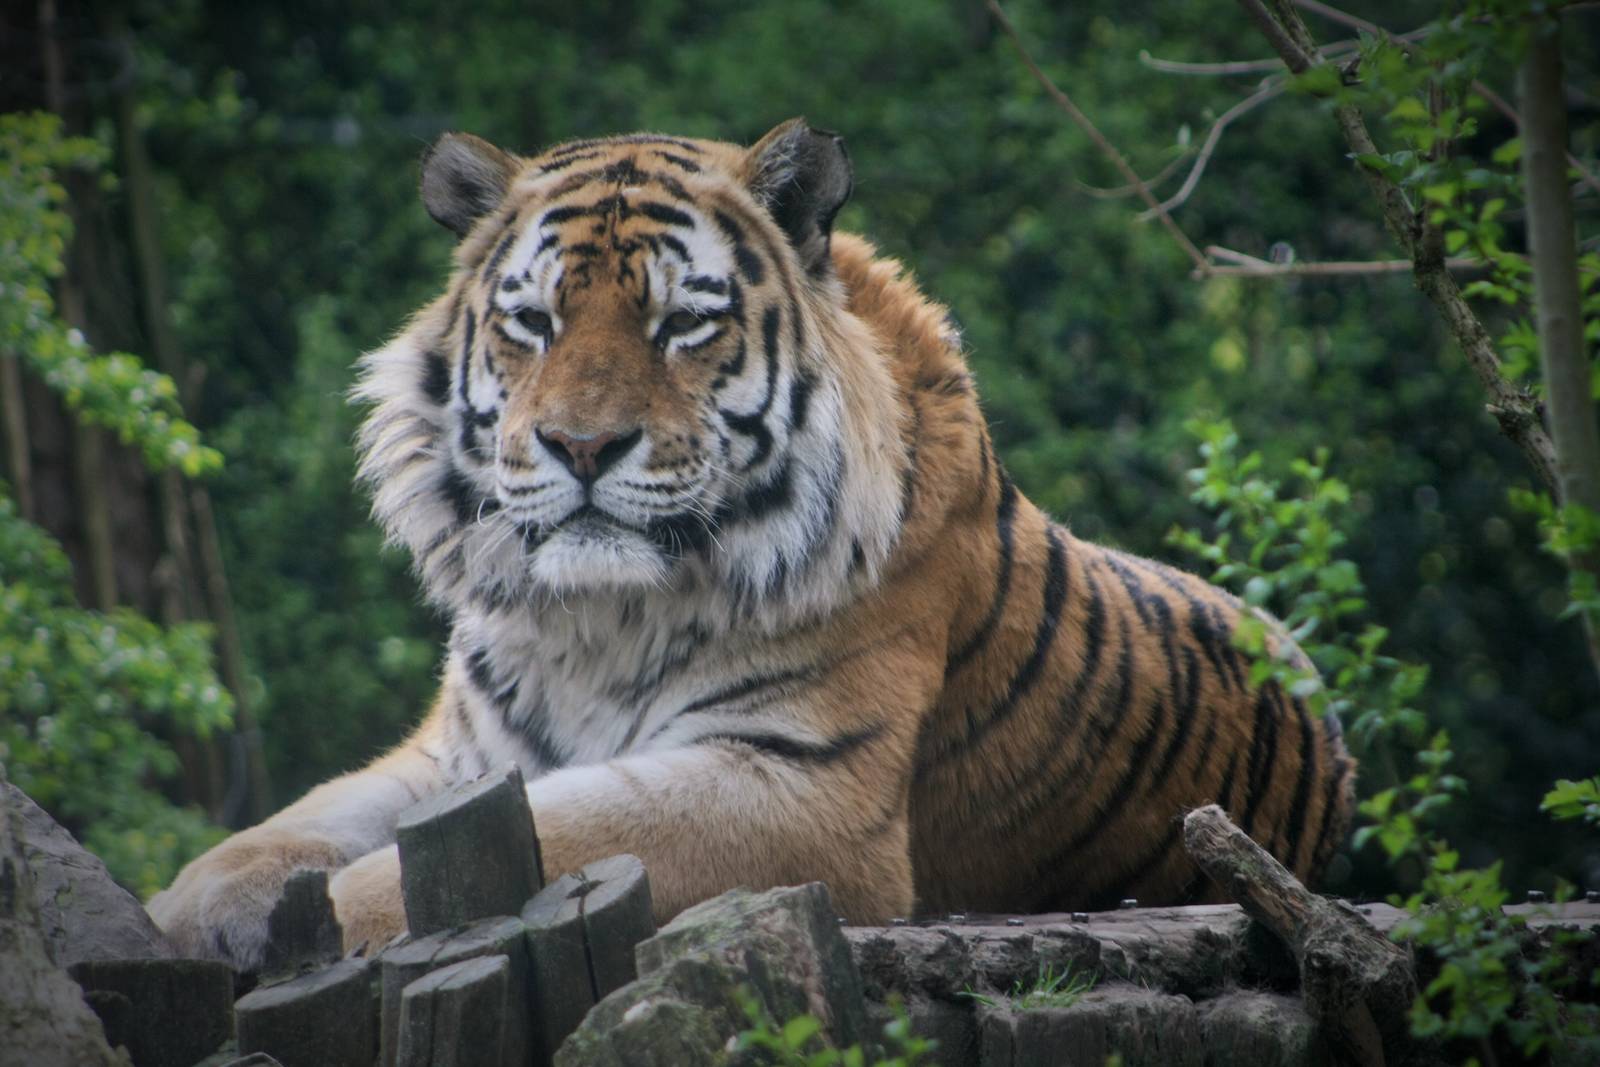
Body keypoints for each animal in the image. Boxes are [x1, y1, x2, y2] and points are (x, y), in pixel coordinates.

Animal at [148, 118, 1356, 969]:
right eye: (533, 321)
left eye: (683, 322)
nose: (580, 445)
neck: (591, 619)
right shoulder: (462, 756)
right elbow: (289, 823)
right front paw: (180, 915)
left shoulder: (800, 789)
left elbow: (497, 854)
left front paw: (311, 928)